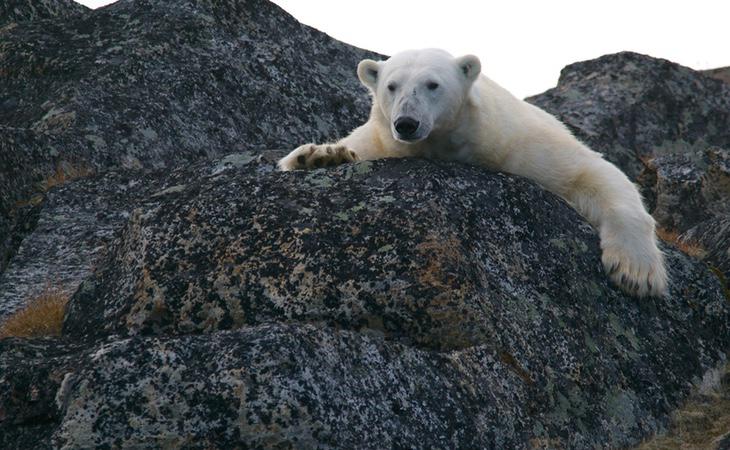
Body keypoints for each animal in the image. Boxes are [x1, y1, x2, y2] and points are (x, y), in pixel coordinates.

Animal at [278, 48, 664, 298]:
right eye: (391, 86)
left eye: (432, 84)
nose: (406, 123)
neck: (449, 143)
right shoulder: (381, 140)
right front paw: (320, 156)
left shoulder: (520, 143)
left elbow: (592, 172)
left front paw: (636, 273)